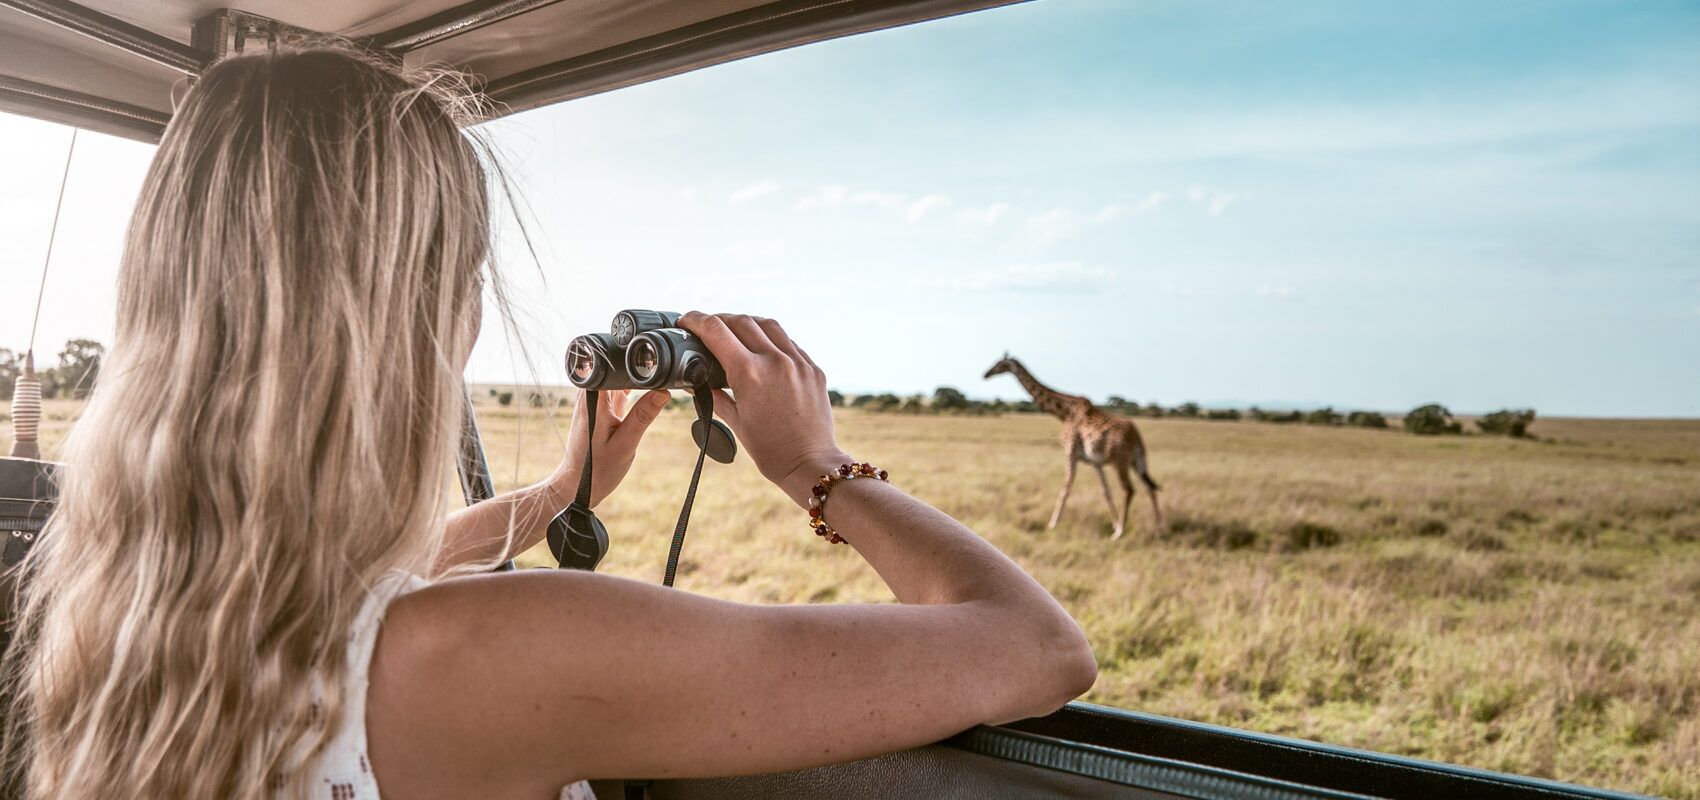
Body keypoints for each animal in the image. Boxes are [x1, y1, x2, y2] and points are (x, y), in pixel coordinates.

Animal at [985, 354, 1162, 539]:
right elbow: (1105, 492)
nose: (985, 374)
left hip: (1119, 462)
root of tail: (1136, 436)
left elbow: (1066, 488)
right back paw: (1158, 528)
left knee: (1129, 490)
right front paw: (1114, 524)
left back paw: (1120, 533)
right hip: (1138, 461)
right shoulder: (1095, 462)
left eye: (999, 364)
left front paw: (1052, 524)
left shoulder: (1070, 453)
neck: (1064, 412)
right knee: (1149, 487)